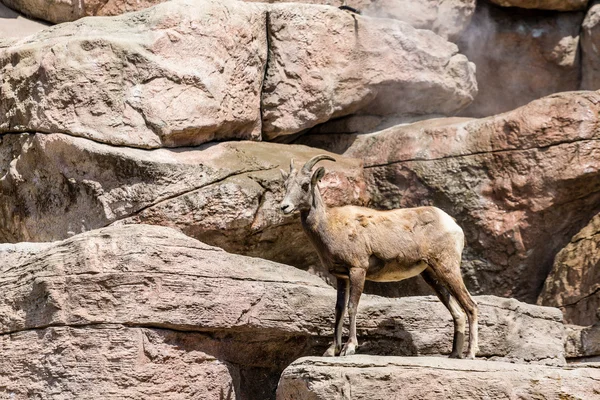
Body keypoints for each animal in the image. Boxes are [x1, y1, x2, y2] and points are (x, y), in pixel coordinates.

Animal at [280, 155, 478, 358]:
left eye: (305, 185)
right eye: (285, 184)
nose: (284, 207)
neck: (330, 225)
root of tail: (452, 224)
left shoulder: (357, 270)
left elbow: (352, 306)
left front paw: (349, 348)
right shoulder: (342, 277)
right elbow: (339, 310)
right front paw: (331, 351)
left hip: (447, 268)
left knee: (471, 306)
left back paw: (470, 353)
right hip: (432, 275)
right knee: (458, 312)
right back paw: (454, 355)